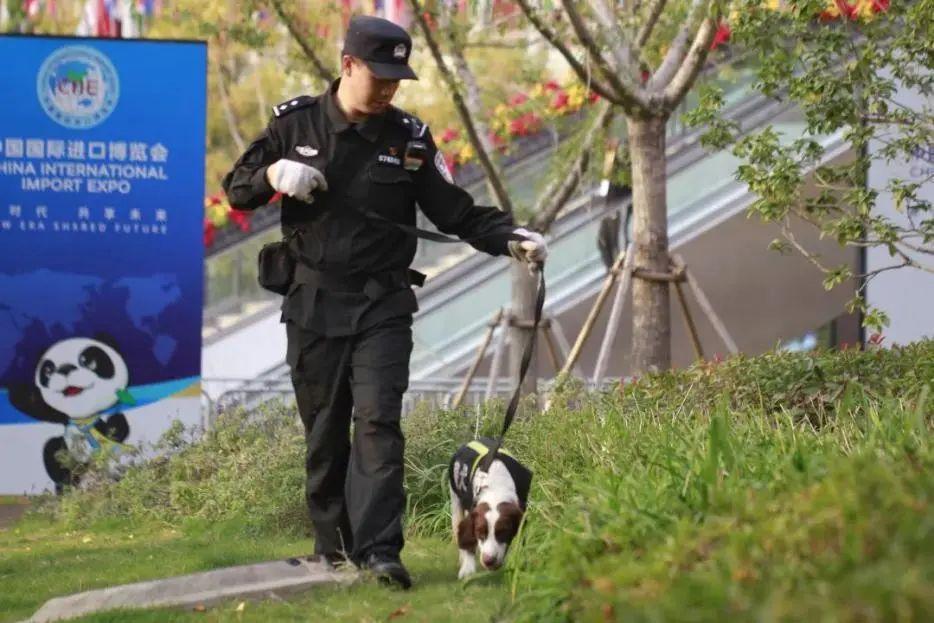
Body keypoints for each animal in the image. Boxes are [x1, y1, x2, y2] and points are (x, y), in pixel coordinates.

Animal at [448, 438, 532, 580]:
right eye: (479, 533)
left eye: (503, 532)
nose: (489, 561)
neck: (496, 487)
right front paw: (467, 569)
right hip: (456, 502)